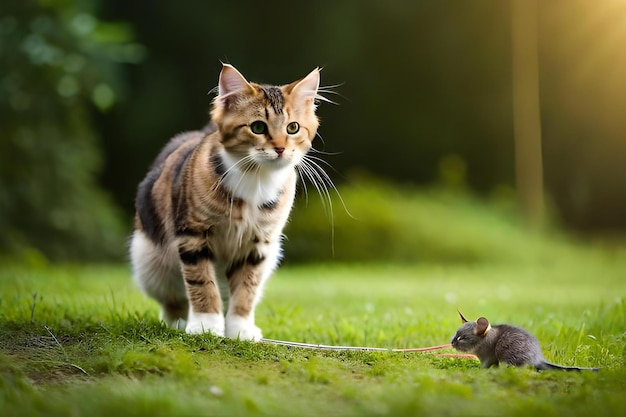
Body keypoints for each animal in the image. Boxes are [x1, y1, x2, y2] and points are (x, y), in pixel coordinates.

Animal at [128, 63, 322, 340]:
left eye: (293, 128)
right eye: (258, 128)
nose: (280, 149)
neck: (256, 178)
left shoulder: (259, 246)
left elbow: (246, 288)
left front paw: (240, 329)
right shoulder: (193, 235)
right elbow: (201, 282)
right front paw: (206, 325)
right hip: (149, 261)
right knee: (173, 300)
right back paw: (180, 323)